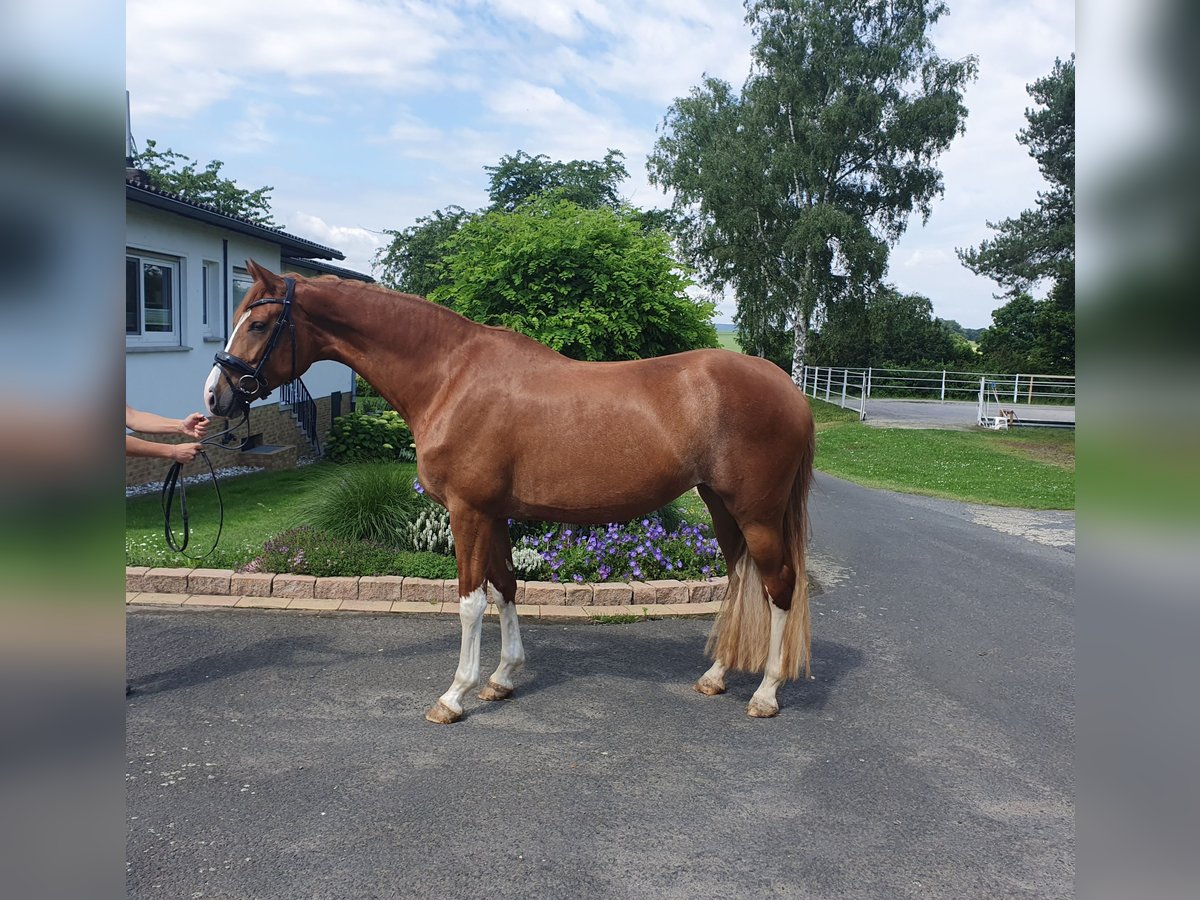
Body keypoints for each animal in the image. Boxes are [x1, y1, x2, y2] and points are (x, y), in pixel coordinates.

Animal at [206, 260, 816, 724]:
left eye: (259, 324)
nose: (215, 397)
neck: (450, 377)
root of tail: (786, 385)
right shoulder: (494, 514)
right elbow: (505, 589)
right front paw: (501, 678)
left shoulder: (468, 512)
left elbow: (471, 601)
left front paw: (454, 695)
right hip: (721, 507)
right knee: (742, 578)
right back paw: (715, 676)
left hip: (757, 512)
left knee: (779, 585)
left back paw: (765, 693)